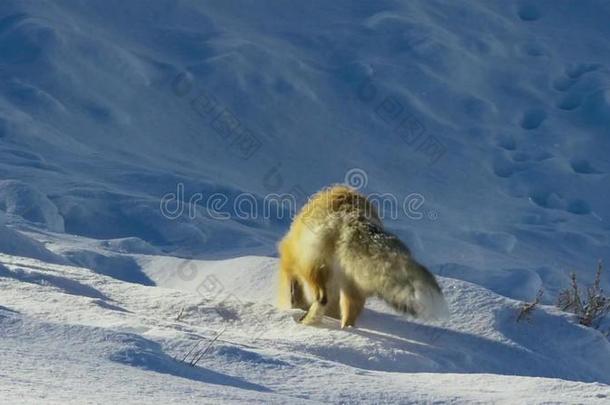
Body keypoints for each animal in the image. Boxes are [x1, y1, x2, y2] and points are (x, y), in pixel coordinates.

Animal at [276, 185, 446, 326]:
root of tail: (350, 214)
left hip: (315, 269)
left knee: (322, 299)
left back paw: (308, 321)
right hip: (354, 286)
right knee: (349, 317)